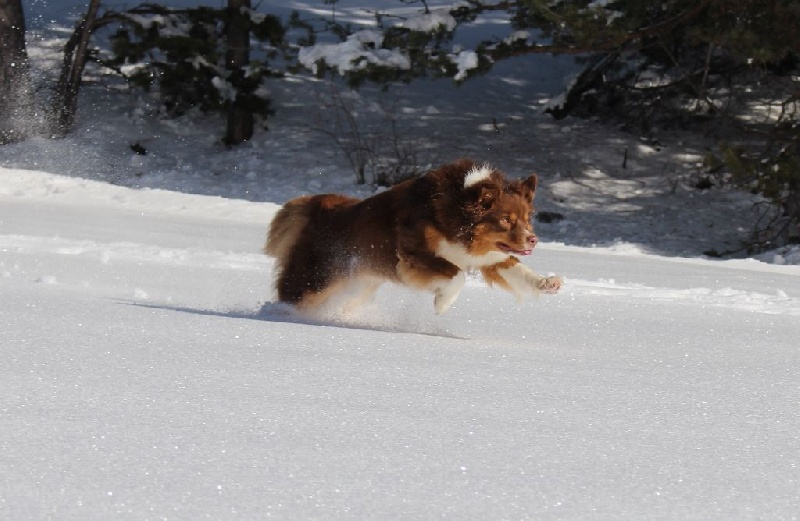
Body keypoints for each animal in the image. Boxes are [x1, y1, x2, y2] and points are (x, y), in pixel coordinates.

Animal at [264, 158, 564, 312]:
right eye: (505, 220)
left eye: (527, 219)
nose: (533, 239)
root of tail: (317, 207)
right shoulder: (413, 251)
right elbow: (457, 274)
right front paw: (442, 302)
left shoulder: (490, 256)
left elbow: (517, 270)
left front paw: (547, 282)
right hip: (318, 277)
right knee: (293, 294)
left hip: (359, 281)